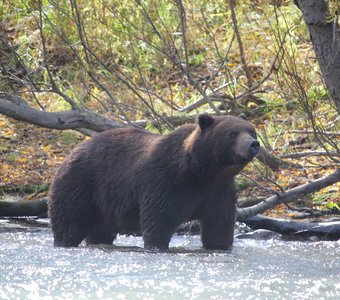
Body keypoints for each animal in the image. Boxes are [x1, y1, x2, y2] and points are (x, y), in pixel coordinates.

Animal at [48, 113, 260, 250]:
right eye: (232, 133)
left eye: (251, 131)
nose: (253, 144)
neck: (200, 172)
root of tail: (73, 151)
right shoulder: (164, 181)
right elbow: (159, 218)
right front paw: (156, 245)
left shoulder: (219, 190)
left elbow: (219, 224)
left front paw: (220, 245)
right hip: (81, 184)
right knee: (69, 220)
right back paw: (64, 241)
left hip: (102, 205)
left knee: (100, 229)